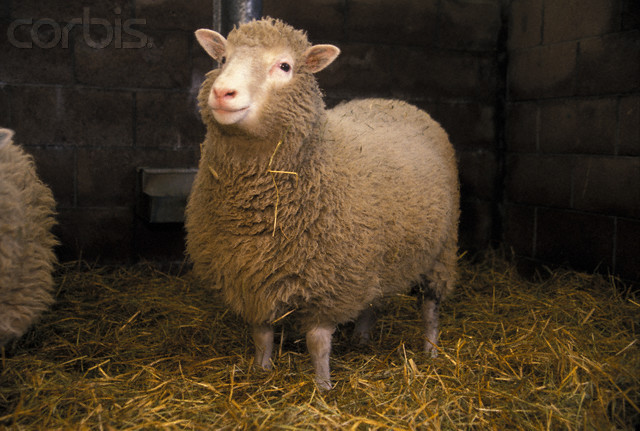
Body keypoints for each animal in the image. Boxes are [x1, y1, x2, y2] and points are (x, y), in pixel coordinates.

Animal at [185, 18, 459, 389]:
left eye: (285, 66)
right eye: (223, 59)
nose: (222, 93)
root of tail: (394, 101)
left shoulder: (329, 285)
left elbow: (317, 342)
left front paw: (323, 386)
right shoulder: (252, 277)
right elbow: (262, 334)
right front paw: (262, 370)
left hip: (441, 250)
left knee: (431, 307)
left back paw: (431, 350)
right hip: (373, 258)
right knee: (372, 300)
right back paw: (362, 338)